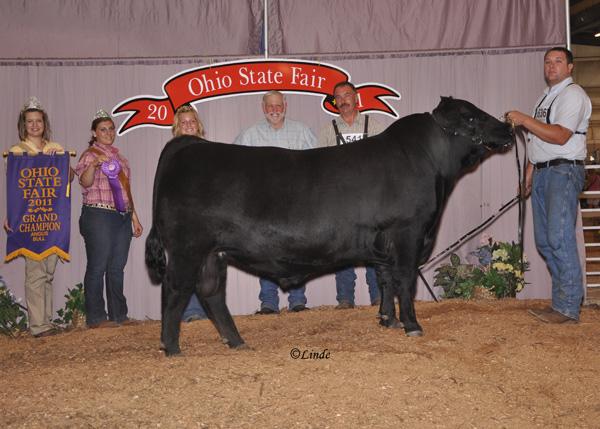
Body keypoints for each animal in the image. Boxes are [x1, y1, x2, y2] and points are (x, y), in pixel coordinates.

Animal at [144, 97, 510, 354]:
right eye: (471, 116)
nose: (507, 126)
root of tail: (189, 144)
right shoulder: (408, 232)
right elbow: (405, 281)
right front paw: (411, 325)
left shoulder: (384, 241)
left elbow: (386, 279)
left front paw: (387, 320)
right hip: (187, 248)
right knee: (175, 290)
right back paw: (171, 347)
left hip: (213, 254)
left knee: (211, 293)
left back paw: (236, 342)